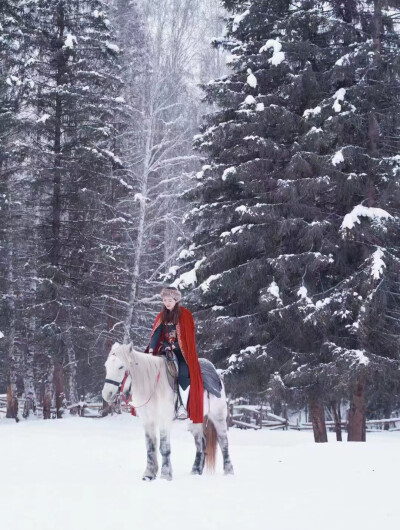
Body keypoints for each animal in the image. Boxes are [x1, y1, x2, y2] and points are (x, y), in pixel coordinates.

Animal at [102, 340, 234, 480]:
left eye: (121, 367)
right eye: (106, 366)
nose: (107, 394)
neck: (152, 385)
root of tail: (217, 375)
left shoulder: (164, 420)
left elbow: (164, 448)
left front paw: (165, 475)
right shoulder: (147, 421)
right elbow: (150, 447)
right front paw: (149, 474)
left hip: (218, 416)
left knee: (223, 442)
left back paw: (229, 471)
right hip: (195, 421)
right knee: (201, 443)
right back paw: (196, 471)